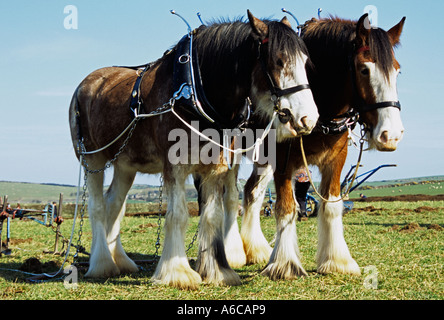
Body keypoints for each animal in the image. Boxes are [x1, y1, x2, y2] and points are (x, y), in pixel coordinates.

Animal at [68, 11, 320, 288]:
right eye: (278, 60)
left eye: (306, 62)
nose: (309, 118)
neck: (194, 91)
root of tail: (85, 84)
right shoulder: (175, 166)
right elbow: (177, 215)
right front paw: (177, 272)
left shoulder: (215, 167)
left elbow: (212, 216)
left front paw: (217, 271)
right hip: (92, 158)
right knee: (97, 206)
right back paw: (102, 263)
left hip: (126, 164)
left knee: (115, 204)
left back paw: (120, 261)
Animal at [227, 13, 408, 278]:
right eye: (364, 69)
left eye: (397, 71)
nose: (391, 135)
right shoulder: (283, 161)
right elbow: (286, 207)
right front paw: (285, 264)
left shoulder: (336, 159)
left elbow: (331, 205)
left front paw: (337, 261)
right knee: (229, 195)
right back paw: (232, 252)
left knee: (252, 192)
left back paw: (255, 248)